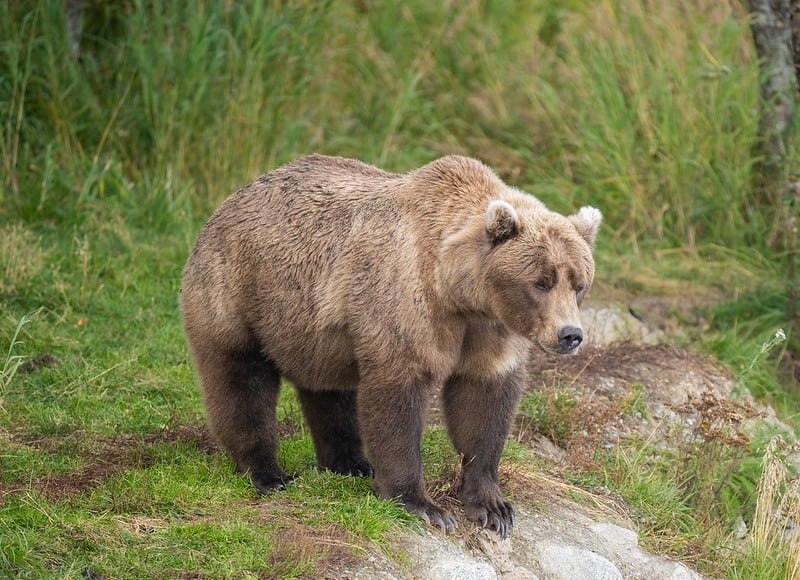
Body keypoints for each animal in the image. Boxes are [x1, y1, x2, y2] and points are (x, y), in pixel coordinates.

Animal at [180, 154, 601, 538]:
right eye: (541, 281)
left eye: (579, 283)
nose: (570, 334)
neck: (461, 293)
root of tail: (229, 201)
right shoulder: (407, 297)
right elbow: (398, 398)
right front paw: (423, 505)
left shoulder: (488, 330)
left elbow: (483, 403)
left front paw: (492, 507)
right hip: (239, 291)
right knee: (240, 379)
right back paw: (267, 472)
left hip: (313, 329)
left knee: (330, 390)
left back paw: (350, 463)